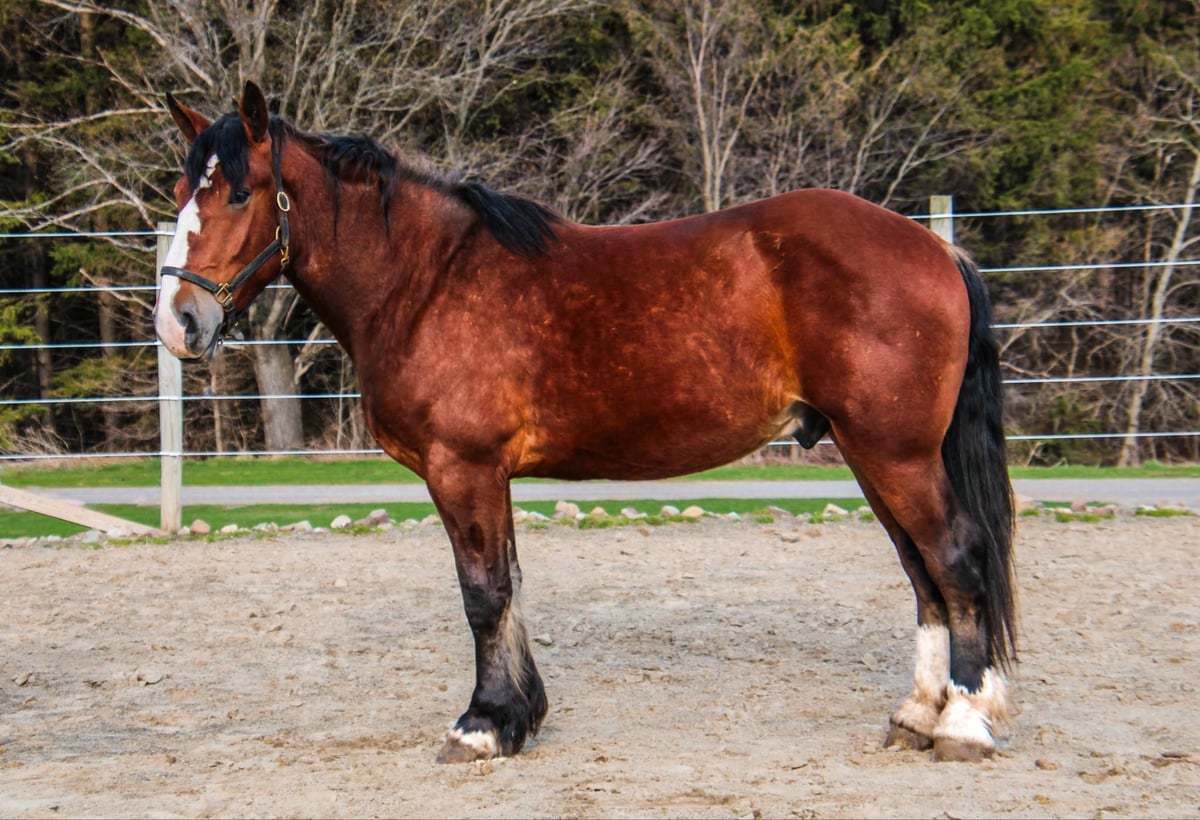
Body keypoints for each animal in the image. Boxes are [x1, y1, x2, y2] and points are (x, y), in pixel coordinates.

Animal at [155, 82, 1016, 764]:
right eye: (179, 191)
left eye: (239, 193)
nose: (179, 321)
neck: (427, 282)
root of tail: (934, 249)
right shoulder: (487, 474)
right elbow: (506, 587)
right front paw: (518, 717)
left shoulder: (461, 466)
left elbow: (483, 594)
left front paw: (480, 726)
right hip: (875, 454)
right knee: (923, 573)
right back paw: (917, 714)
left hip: (896, 454)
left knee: (956, 559)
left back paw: (964, 722)